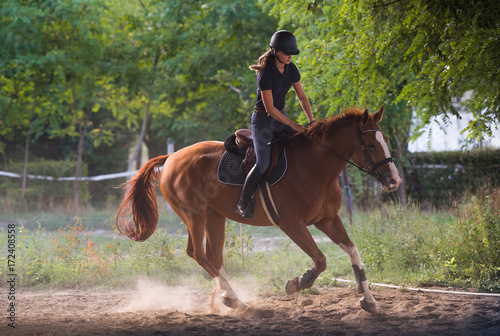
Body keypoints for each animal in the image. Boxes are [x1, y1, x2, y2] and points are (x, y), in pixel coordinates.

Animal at [115, 106, 400, 314]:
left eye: (385, 139)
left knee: (213, 257)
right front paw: (297, 283)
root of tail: (171, 158)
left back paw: (229, 299)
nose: (394, 181)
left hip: (214, 217)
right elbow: (320, 260)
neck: (315, 168)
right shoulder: (292, 225)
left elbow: (353, 251)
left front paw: (368, 300)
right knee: (198, 254)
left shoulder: (327, 220)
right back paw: (232, 299)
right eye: (371, 145)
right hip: (194, 215)